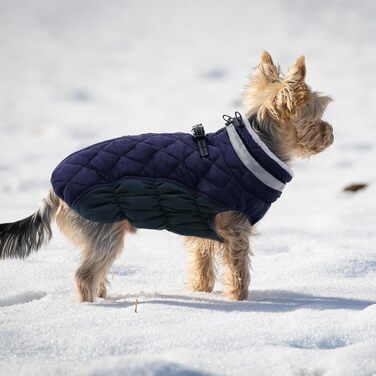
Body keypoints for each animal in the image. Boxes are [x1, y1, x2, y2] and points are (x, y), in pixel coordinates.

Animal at [0, 50, 334, 302]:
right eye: (318, 117)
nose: (330, 133)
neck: (256, 145)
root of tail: (53, 190)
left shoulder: (204, 229)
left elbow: (201, 264)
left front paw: (202, 292)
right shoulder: (235, 227)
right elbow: (239, 270)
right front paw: (240, 300)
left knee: (96, 273)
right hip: (103, 229)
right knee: (84, 274)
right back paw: (93, 309)